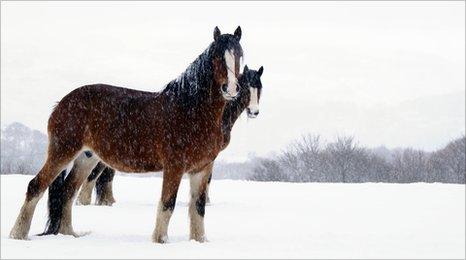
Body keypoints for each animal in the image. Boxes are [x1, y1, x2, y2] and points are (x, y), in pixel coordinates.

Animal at [10, 26, 244, 244]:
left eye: (240, 55)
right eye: (217, 56)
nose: (231, 89)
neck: (190, 111)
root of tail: (62, 103)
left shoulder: (202, 169)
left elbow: (198, 207)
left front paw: (199, 241)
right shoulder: (174, 166)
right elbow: (168, 204)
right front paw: (161, 240)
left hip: (86, 158)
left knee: (67, 192)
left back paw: (69, 234)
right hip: (63, 152)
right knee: (36, 186)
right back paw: (18, 235)